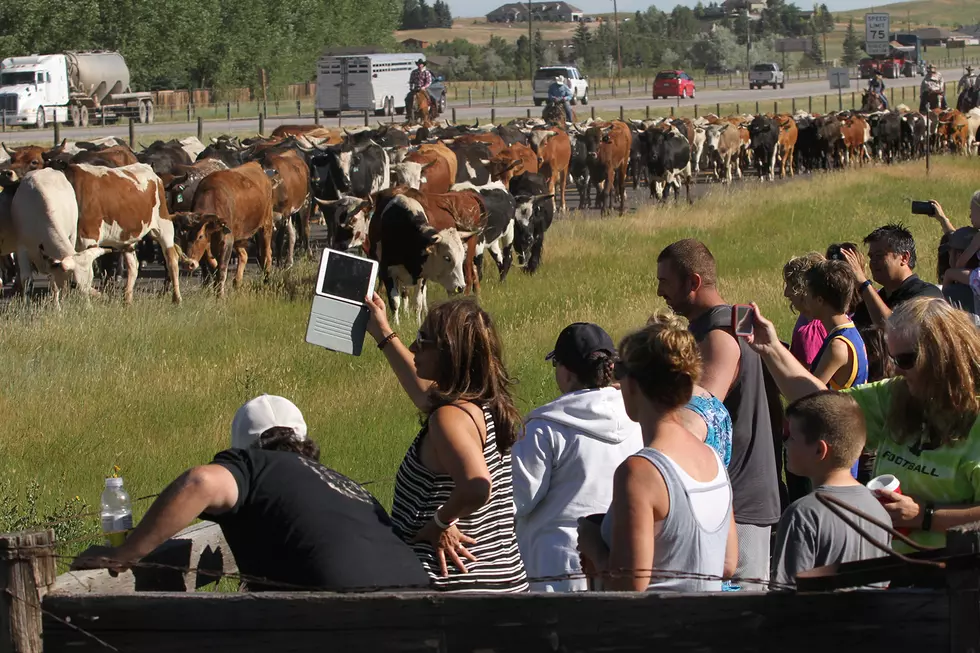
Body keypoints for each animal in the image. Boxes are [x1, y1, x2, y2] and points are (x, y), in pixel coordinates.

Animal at [171, 162, 276, 296]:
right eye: (183, 234)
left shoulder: (227, 241)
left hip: (265, 226)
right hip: (239, 237)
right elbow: (213, 266)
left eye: (200, 236)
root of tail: (257, 166)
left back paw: (266, 281)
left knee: (266, 255)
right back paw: (237, 283)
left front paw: (219, 295)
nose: (189, 264)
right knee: (244, 255)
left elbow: (221, 269)